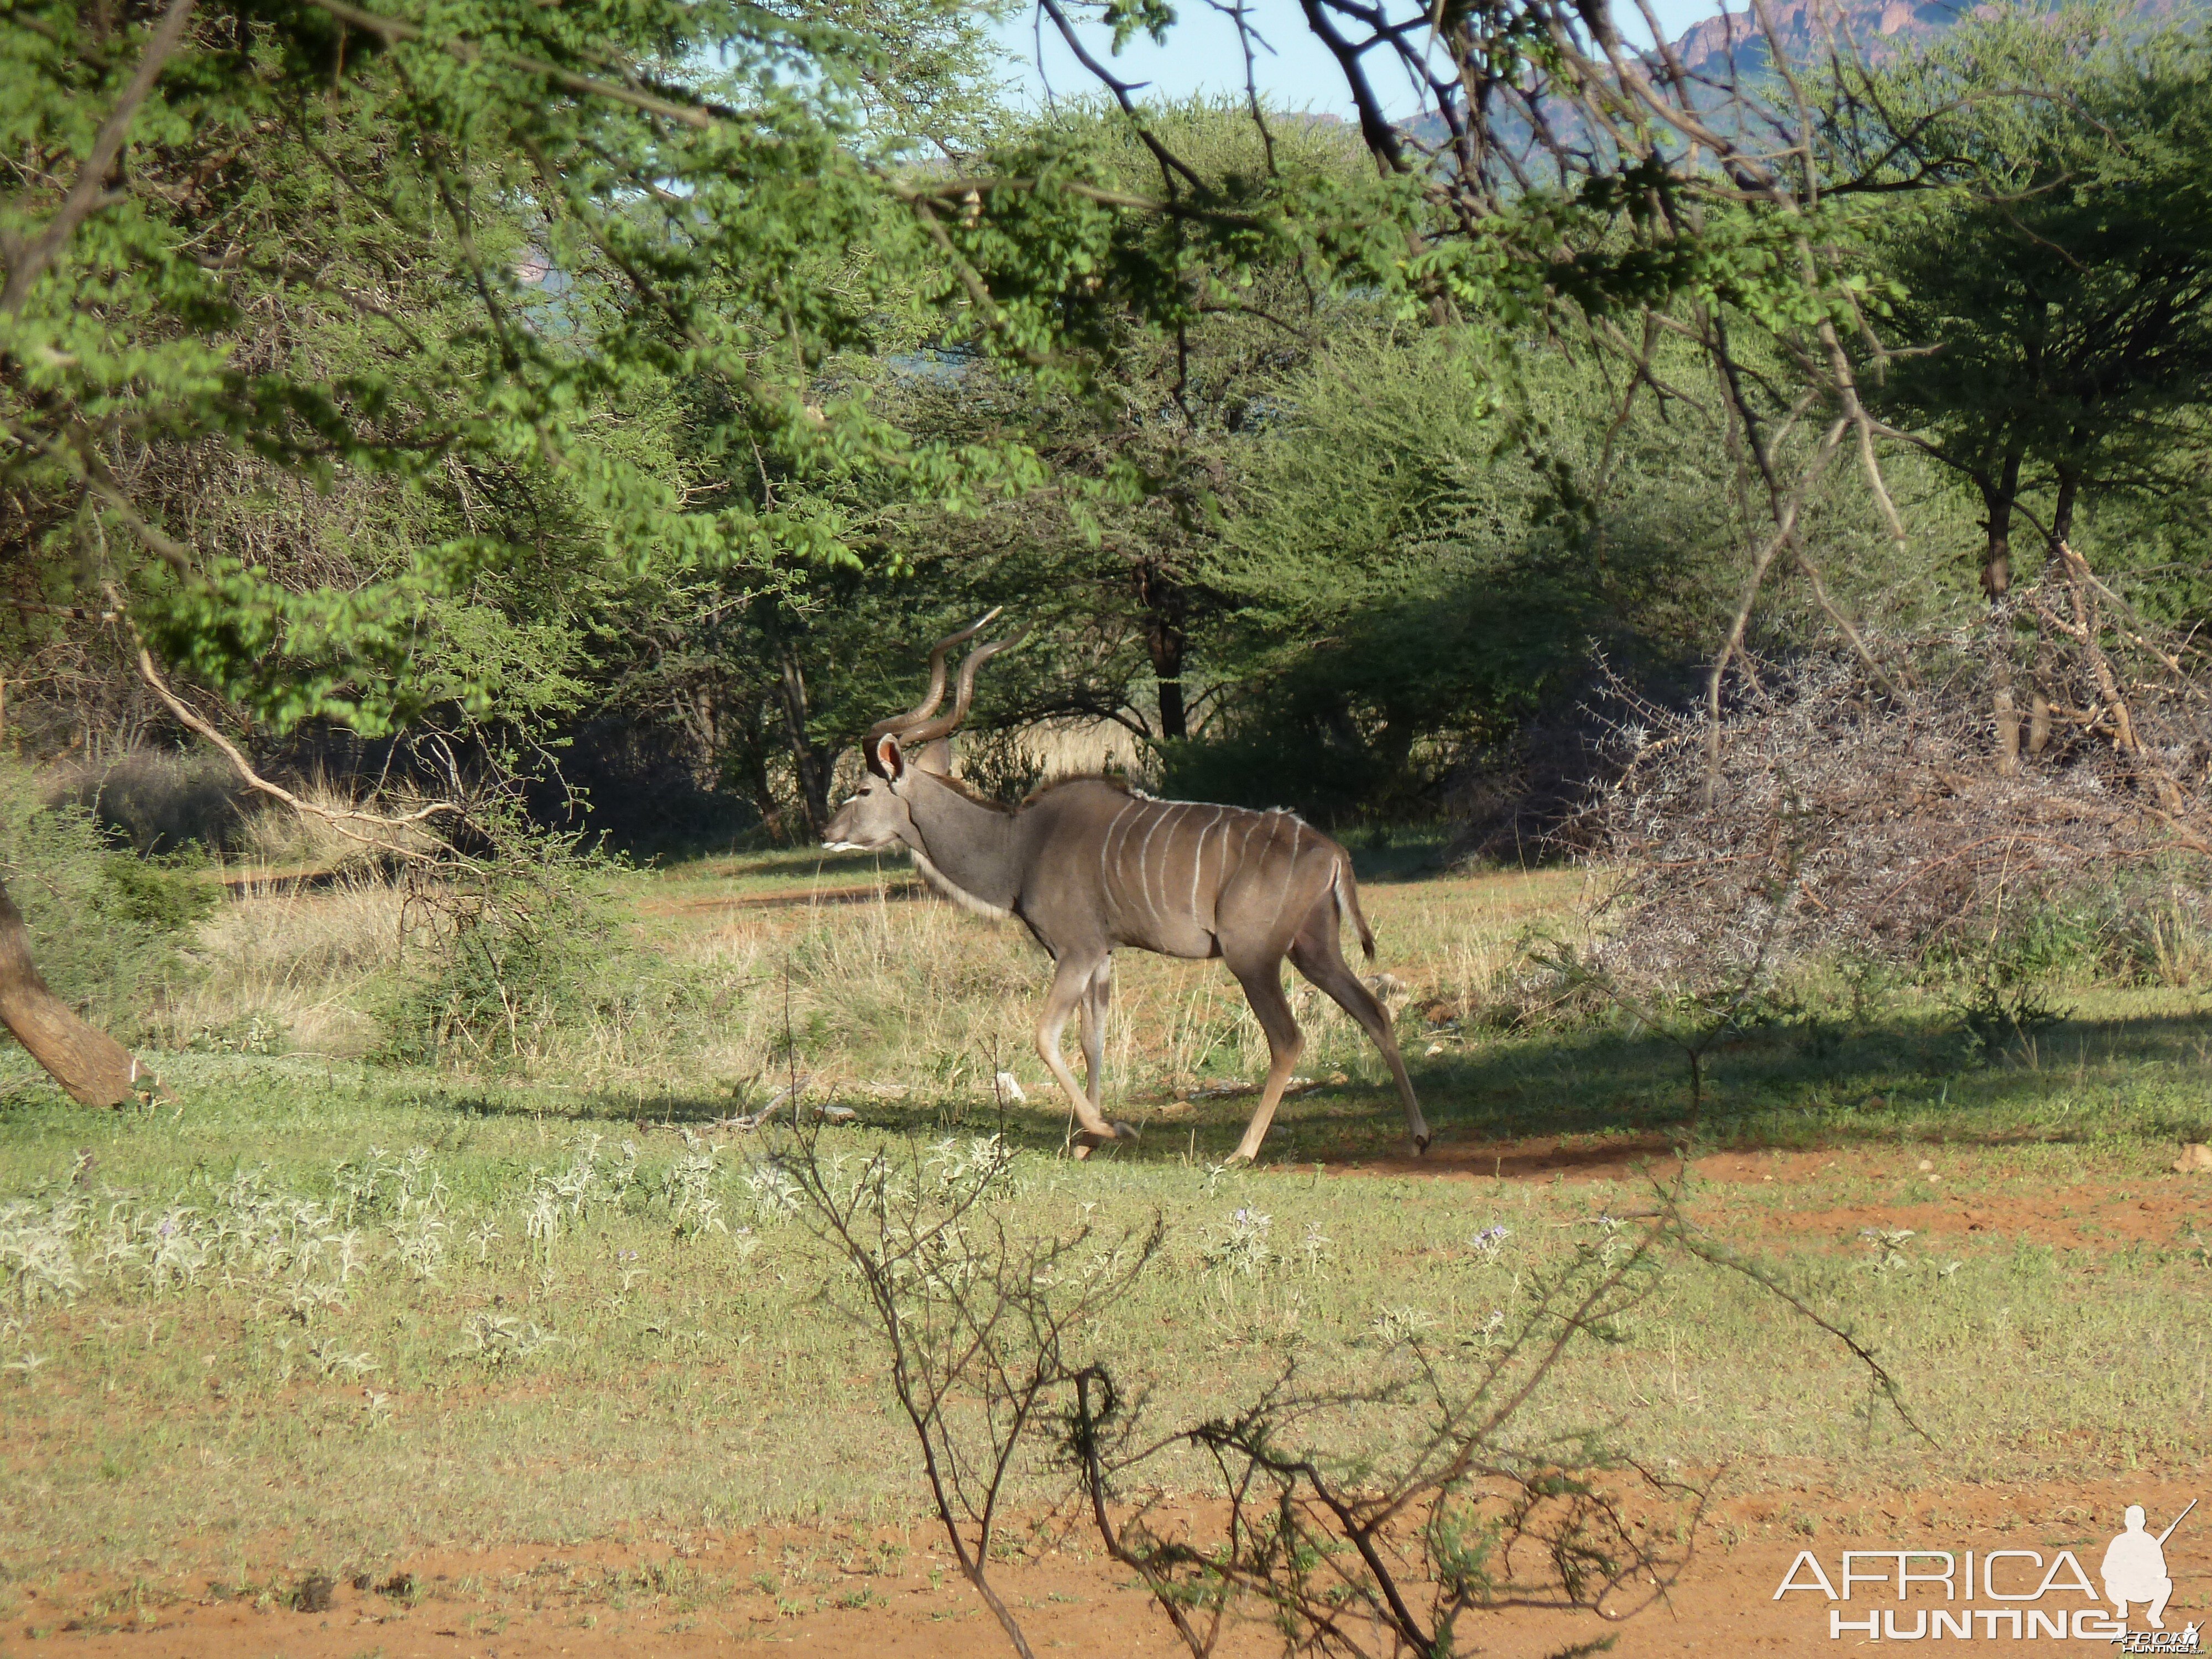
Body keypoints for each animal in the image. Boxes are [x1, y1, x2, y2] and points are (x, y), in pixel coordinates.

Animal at [823, 615, 1425, 1168]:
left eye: (862, 789)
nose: (829, 833)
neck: (1021, 845)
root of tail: (1331, 850)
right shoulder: (1102, 956)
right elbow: (1092, 1040)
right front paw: (1087, 1141)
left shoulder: (1077, 949)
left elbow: (1046, 1035)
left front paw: (1108, 1130)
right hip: (1314, 949)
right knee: (1374, 1012)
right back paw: (1418, 1135)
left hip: (1252, 956)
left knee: (1288, 1039)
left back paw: (1242, 1151)